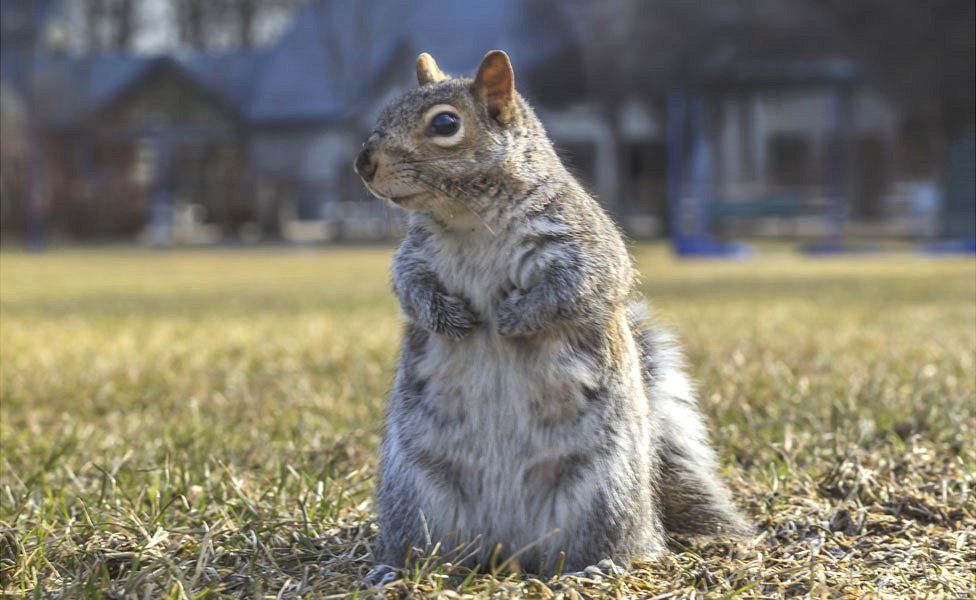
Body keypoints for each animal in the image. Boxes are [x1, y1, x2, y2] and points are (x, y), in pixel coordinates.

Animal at [355, 50, 750, 577]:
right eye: (388, 108)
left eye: (444, 124)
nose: (364, 161)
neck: (468, 218)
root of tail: (509, 549)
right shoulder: (415, 256)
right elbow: (410, 288)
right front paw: (447, 317)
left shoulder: (582, 244)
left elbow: (580, 288)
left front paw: (516, 317)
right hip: (418, 493)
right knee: (431, 542)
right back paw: (402, 567)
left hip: (601, 492)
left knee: (616, 544)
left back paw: (600, 565)